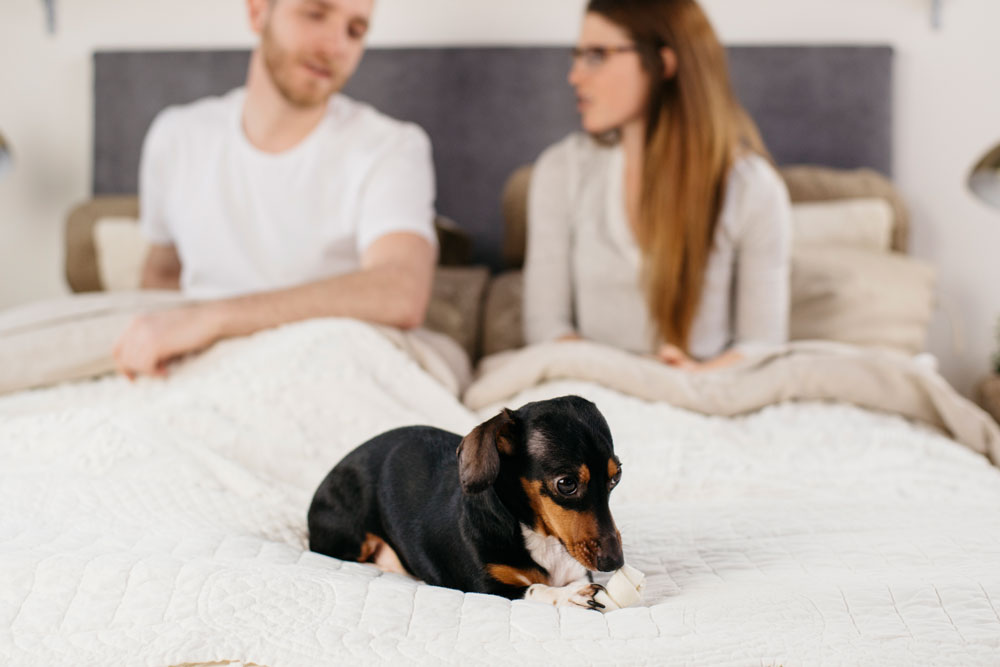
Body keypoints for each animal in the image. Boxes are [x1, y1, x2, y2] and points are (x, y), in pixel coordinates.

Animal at [308, 396, 624, 612]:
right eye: (566, 483)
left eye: (616, 477)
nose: (615, 562)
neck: (539, 537)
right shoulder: (486, 588)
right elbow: (534, 589)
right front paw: (569, 596)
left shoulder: (577, 570)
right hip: (351, 540)